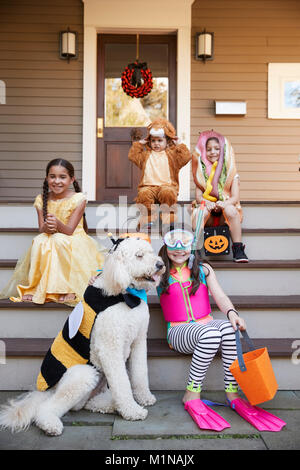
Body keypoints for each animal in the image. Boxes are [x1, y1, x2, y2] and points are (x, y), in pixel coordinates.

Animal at [0, 239, 164, 436]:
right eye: (139, 255)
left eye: (151, 252)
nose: (160, 265)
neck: (125, 295)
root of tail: (48, 391)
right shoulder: (110, 348)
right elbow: (122, 383)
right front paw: (132, 411)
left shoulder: (138, 341)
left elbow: (140, 373)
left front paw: (144, 397)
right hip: (83, 375)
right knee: (48, 408)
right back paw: (50, 423)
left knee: (90, 404)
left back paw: (112, 406)